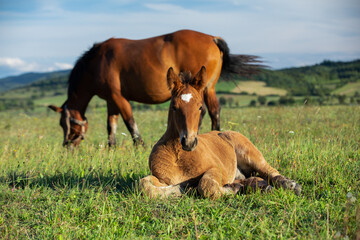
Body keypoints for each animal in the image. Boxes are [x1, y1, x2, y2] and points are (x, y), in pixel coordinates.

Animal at [47, 29, 262, 147]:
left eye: (64, 124)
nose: (67, 145)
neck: (97, 62)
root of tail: (212, 38)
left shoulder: (119, 98)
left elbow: (130, 122)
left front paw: (139, 145)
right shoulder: (111, 100)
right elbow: (111, 124)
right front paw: (111, 147)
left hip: (204, 88)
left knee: (210, 112)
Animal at [139, 67, 302, 199]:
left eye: (200, 107)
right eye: (174, 106)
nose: (189, 142)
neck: (178, 156)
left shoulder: (217, 169)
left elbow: (206, 185)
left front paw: (228, 189)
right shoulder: (161, 178)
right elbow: (144, 185)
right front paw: (186, 187)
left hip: (251, 154)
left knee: (271, 172)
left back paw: (291, 185)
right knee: (255, 178)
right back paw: (258, 187)